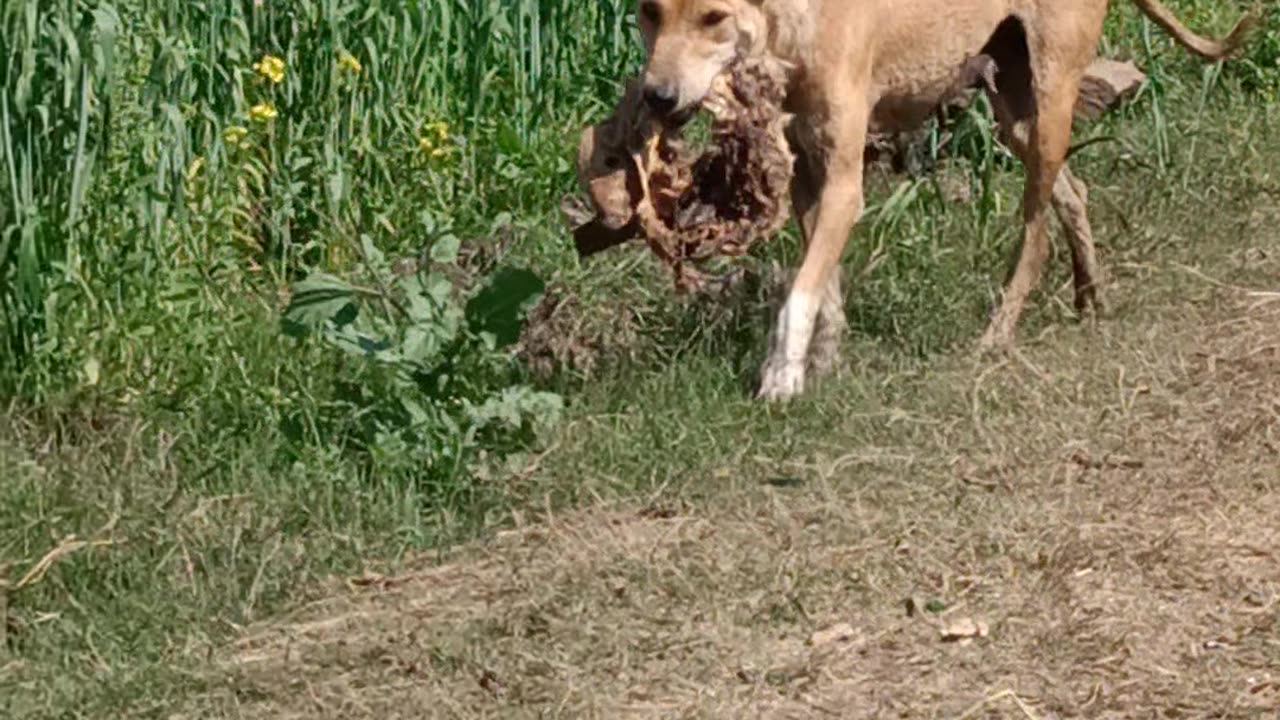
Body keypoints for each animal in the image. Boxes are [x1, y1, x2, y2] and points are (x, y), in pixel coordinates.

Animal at [634, 0, 1254, 397]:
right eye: (648, 10)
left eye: (713, 18)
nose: (655, 97)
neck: (788, 26)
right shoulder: (807, 177)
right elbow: (822, 282)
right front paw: (824, 359)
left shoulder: (844, 186)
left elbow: (800, 292)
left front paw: (781, 379)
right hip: (1015, 110)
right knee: (1074, 193)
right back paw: (1090, 296)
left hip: (1050, 99)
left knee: (1036, 235)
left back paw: (1000, 333)